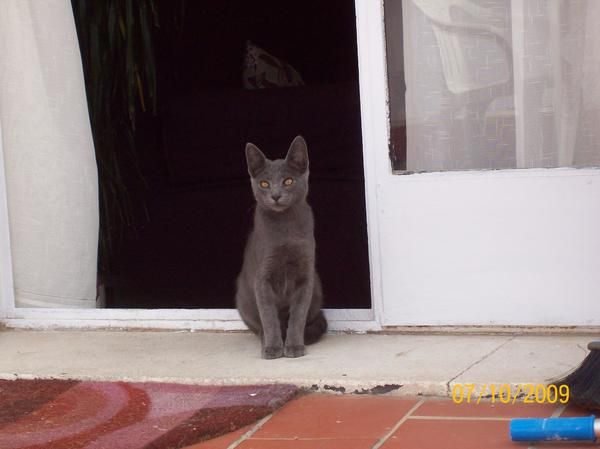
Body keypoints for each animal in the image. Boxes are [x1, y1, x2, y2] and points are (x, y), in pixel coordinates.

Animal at [236, 135, 328, 358]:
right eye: (264, 183)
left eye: (288, 181)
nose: (276, 195)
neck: (286, 226)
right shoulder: (262, 277)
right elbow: (269, 316)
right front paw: (273, 348)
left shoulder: (306, 276)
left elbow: (298, 315)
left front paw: (294, 346)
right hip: (243, 300)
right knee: (260, 325)